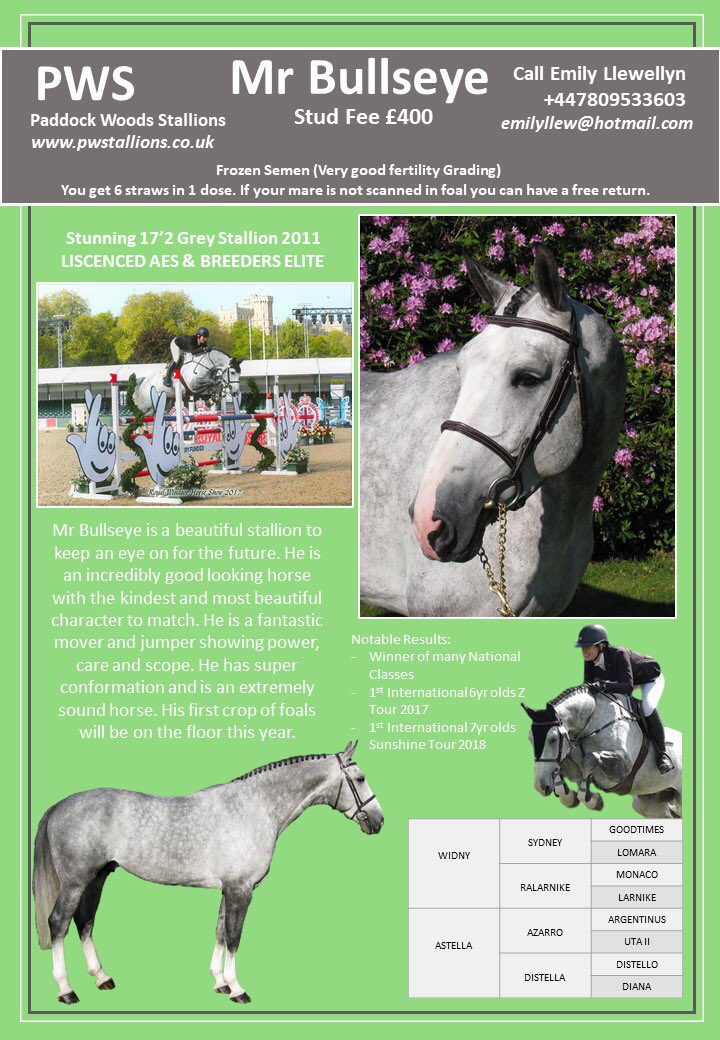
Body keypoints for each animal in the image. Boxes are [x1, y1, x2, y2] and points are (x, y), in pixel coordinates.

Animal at [33, 741, 383, 1006]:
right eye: (361, 778)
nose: (378, 821)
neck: (254, 807)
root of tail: (59, 805)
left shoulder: (228, 889)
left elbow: (219, 932)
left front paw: (220, 983)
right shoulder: (241, 890)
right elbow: (234, 937)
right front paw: (237, 989)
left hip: (97, 878)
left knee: (85, 922)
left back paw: (102, 977)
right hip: (75, 882)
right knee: (59, 923)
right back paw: (66, 990)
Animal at [522, 685, 681, 819]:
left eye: (553, 739)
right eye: (530, 739)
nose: (540, 787)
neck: (591, 725)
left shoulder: (624, 766)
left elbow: (590, 758)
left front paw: (593, 800)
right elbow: (560, 770)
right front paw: (570, 797)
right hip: (649, 803)